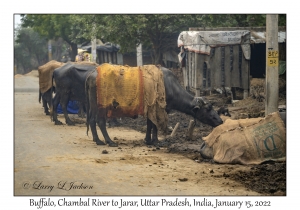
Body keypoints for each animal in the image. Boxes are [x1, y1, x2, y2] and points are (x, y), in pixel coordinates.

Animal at [84, 66, 223, 147]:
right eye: (208, 109)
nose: (220, 121)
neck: (171, 87)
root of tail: (92, 74)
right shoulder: (159, 109)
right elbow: (155, 125)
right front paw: (156, 141)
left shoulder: (150, 109)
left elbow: (149, 124)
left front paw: (148, 140)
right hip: (102, 106)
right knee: (100, 121)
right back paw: (109, 141)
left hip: (92, 105)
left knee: (91, 120)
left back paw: (97, 140)